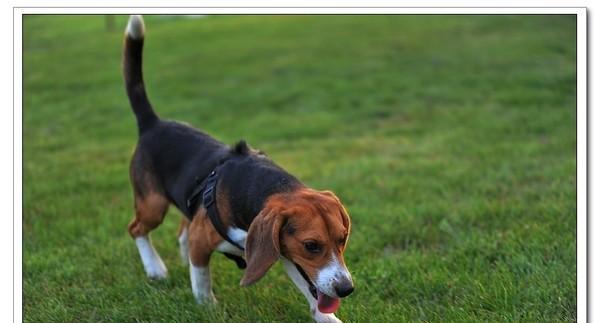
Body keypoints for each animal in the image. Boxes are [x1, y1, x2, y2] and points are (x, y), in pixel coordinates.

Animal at [123, 15, 354, 323]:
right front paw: (206, 306)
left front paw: (327, 318)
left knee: (182, 229)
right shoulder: (203, 241)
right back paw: (155, 268)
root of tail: (152, 123)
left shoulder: (282, 252)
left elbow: (310, 287)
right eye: (311, 245)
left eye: (343, 238)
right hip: (153, 205)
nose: (346, 288)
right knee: (137, 228)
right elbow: (202, 278)